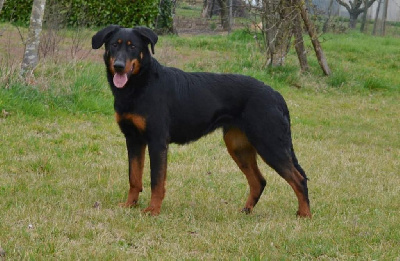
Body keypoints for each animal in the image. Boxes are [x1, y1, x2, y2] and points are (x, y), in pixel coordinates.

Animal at [92, 24, 310, 215]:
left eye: (133, 47)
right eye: (114, 45)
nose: (119, 66)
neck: (140, 85)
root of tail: (276, 95)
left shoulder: (157, 142)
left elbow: (156, 181)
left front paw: (153, 210)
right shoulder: (133, 140)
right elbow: (134, 177)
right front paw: (130, 205)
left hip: (269, 144)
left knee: (299, 179)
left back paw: (304, 215)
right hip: (238, 146)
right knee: (259, 181)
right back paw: (246, 211)